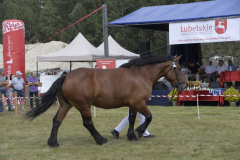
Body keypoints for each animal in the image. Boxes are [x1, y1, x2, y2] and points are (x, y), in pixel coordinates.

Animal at [25, 54, 186, 147]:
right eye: (178, 68)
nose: (183, 86)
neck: (140, 74)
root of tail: (66, 76)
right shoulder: (139, 103)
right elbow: (149, 117)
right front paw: (139, 132)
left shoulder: (133, 104)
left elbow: (132, 119)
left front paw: (131, 136)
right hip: (84, 106)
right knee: (88, 124)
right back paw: (101, 140)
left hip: (66, 105)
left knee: (56, 121)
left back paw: (53, 142)